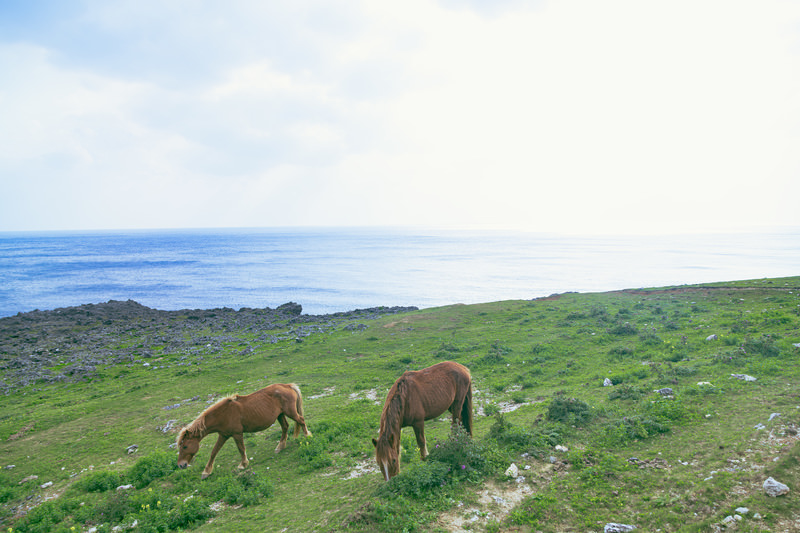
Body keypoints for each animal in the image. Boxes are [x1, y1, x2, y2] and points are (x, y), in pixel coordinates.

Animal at [176, 383, 311, 479]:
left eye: (185, 446)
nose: (181, 465)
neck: (224, 414)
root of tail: (287, 385)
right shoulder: (223, 435)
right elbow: (214, 452)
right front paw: (206, 472)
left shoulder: (237, 434)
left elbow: (241, 449)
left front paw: (243, 464)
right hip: (281, 415)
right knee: (285, 427)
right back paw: (280, 446)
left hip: (290, 412)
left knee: (301, 420)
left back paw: (307, 436)